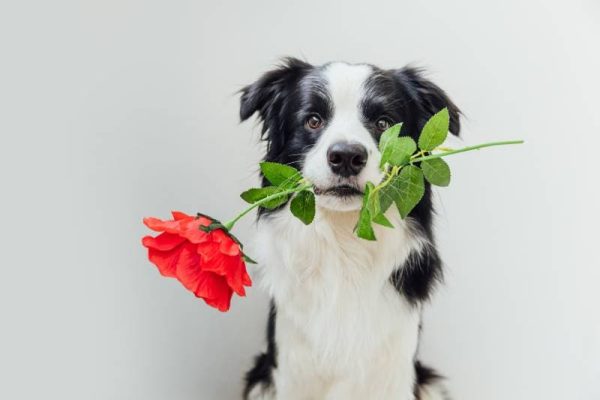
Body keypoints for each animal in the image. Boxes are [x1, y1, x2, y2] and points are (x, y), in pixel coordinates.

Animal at [239, 57, 460, 400]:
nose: (346, 156)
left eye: (383, 123)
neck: (345, 244)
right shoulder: (291, 368)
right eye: (313, 121)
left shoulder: (394, 371)